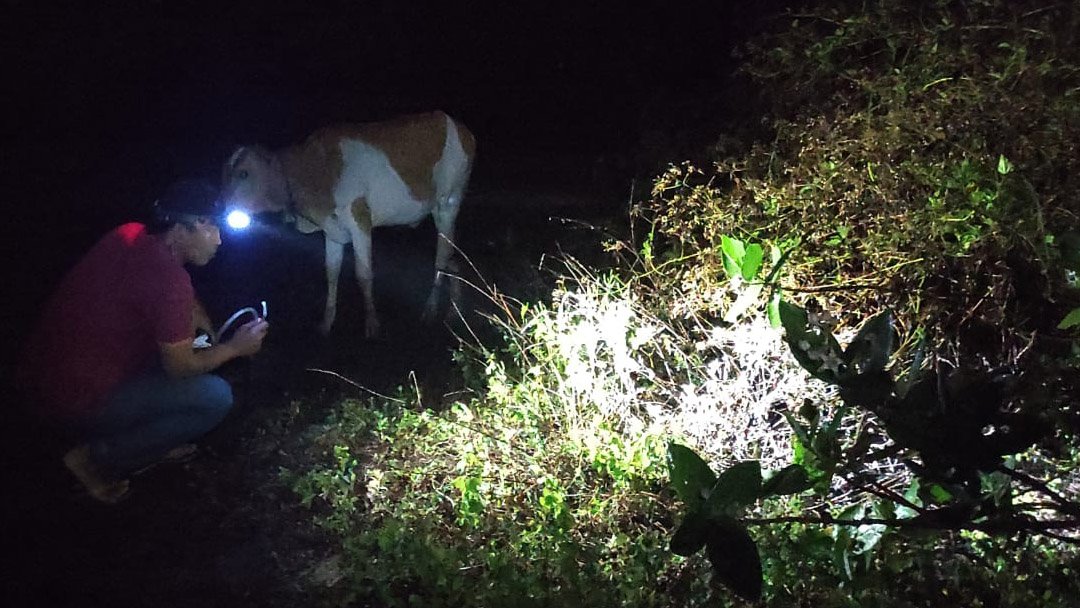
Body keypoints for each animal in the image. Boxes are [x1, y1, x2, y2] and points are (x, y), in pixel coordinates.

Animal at [221, 110, 475, 336]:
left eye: (244, 174)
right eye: (226, 172)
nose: (218, 205)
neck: (317, 170)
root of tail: (458, 126)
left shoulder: (359, 220)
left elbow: (363, 274)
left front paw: (372, 325)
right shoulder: (331, 230)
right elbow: (331, 272)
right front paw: (326, 323)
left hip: (448, 204)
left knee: (441, 258)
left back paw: (430, 311)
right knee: (452, 259)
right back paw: (454, 313)